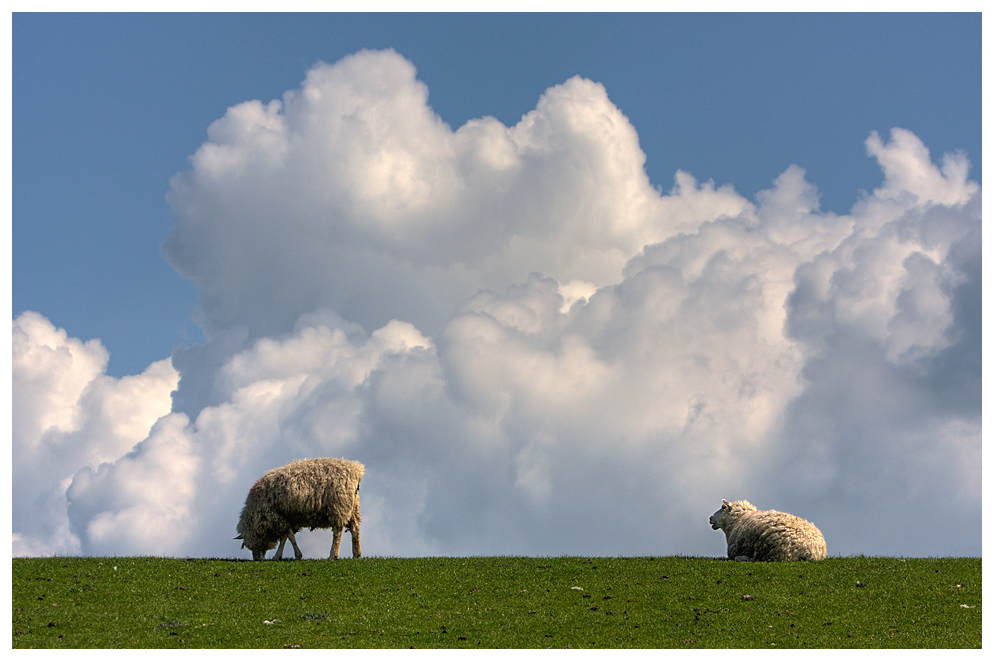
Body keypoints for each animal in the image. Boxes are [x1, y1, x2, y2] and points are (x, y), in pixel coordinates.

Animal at [234, 456, 362, 560]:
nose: (257, 559)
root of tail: (357, 470)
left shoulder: (277, 517)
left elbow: (290, 537)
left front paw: (296, 555)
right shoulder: (285, 518)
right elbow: (285, 537)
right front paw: (278, 556)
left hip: (338, 506)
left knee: (337, 531)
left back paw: (333, 555)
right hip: (352, 507)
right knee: (355, 528)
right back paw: (356, 553)